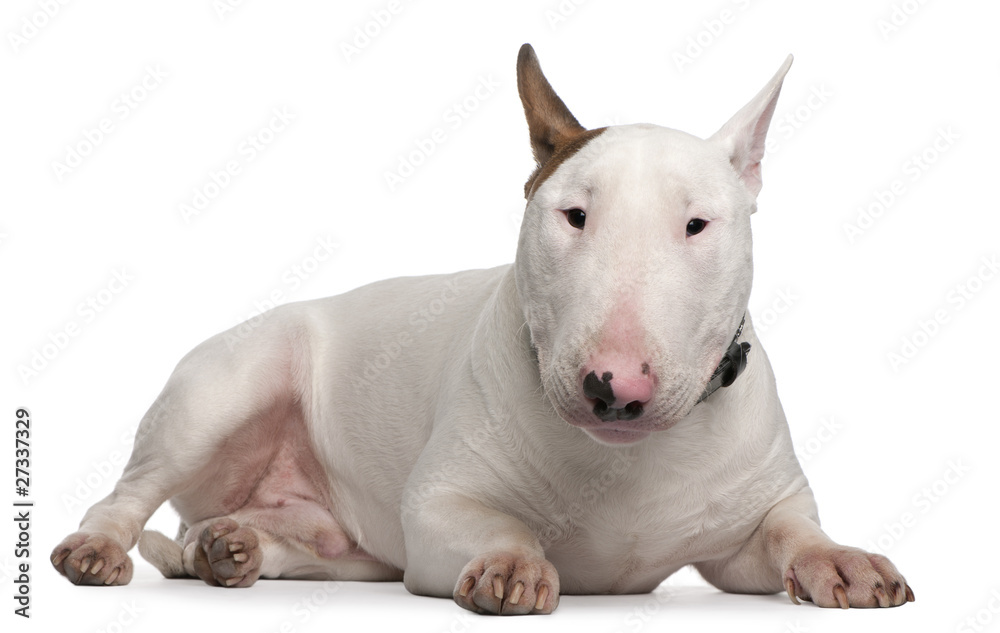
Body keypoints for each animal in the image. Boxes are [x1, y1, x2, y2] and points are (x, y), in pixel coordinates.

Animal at [52, 43, 916, 612]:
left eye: (697, 224)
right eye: (573, 214)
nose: (615, 386)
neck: (628, 463)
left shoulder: (749, 530)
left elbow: (792, 533)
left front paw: (844, 559)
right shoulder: (437, 507)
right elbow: (496, 521)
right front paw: (512, 561)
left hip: (346, 551)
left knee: (284, 543)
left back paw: (229, 547)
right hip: (222, 390)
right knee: (126, 494)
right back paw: (101, 550)